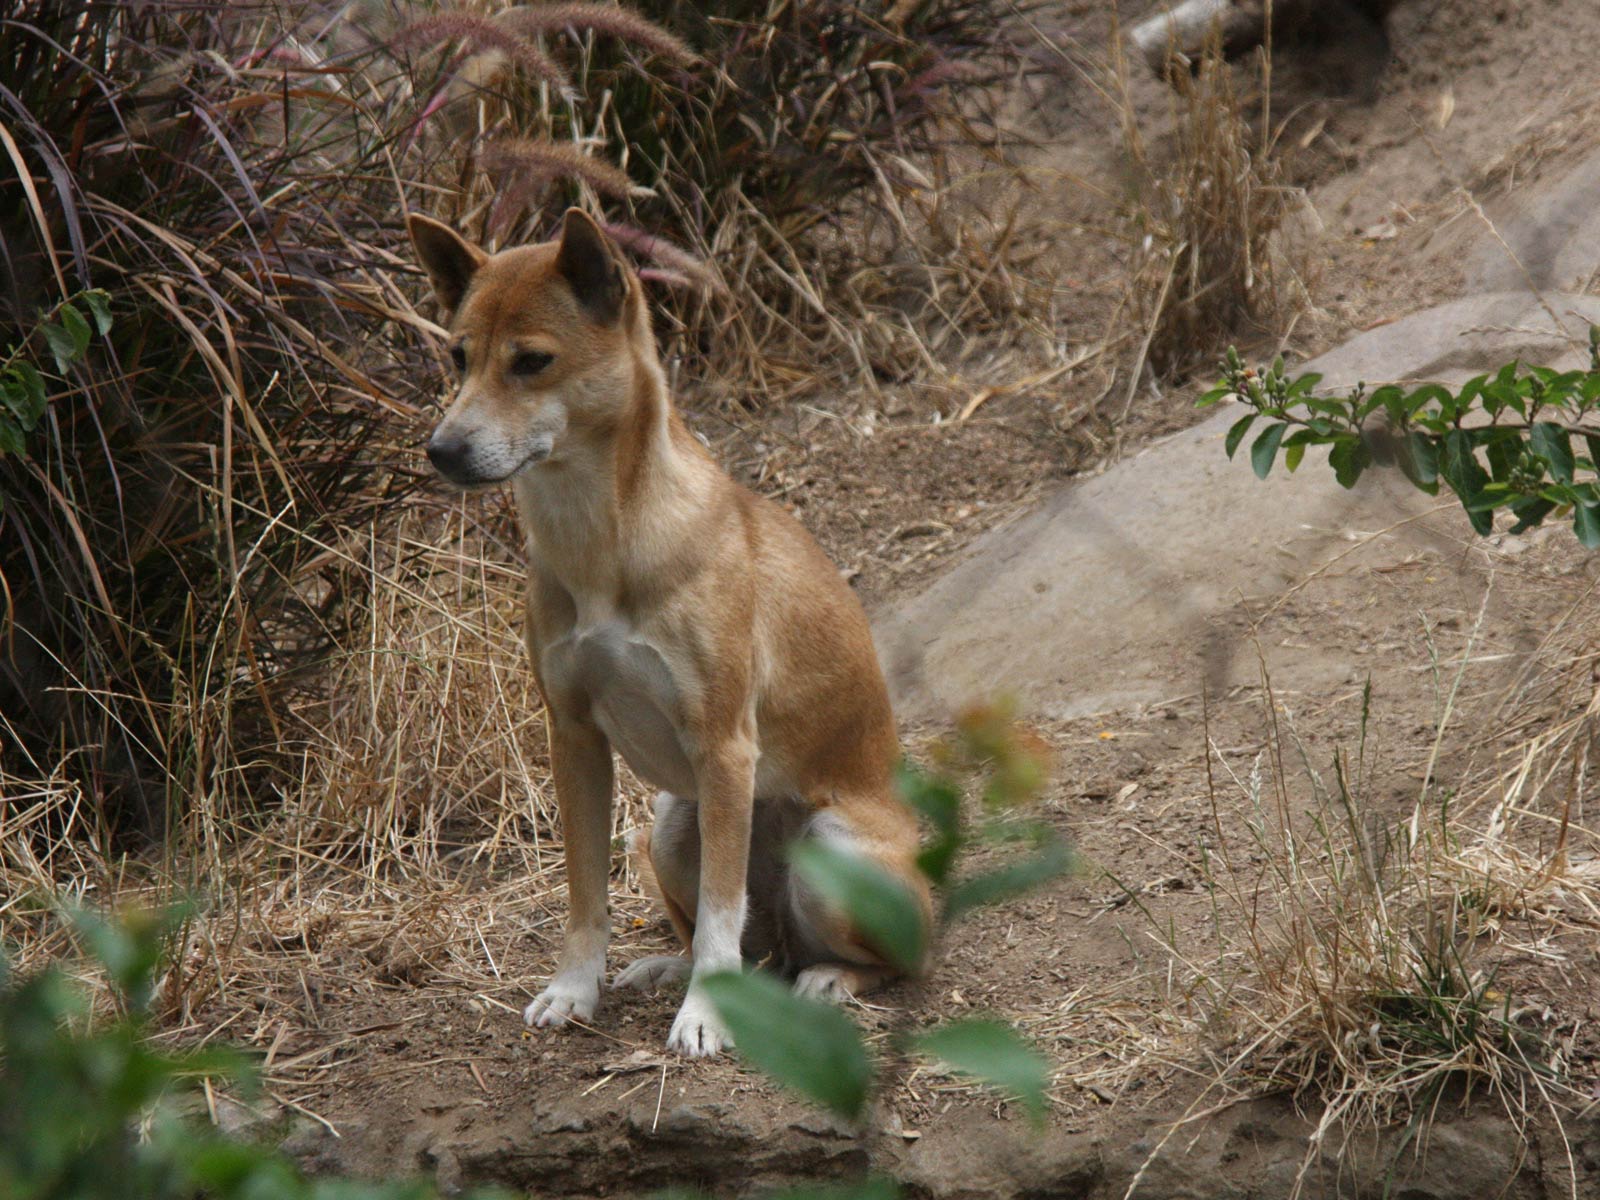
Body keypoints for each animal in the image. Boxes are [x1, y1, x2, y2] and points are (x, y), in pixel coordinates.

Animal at [406, 211, 934, 1056]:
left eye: (531, 362)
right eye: (458, 357)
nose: (442, 450)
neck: (600, 545)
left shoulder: (723, 746)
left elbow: (721, 913)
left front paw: (706, 1015)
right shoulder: (573, 737)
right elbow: (586, 894)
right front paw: (574, 990)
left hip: (829, 849)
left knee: (884, 959)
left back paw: (829, 978)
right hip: (668, 826)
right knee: (739, 941)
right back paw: (667, 967)